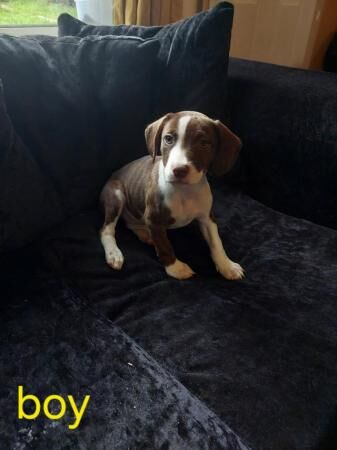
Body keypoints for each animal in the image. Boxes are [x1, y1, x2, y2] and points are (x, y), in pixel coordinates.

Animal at [98, 110, 243, 280]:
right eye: (168, 139)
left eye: (204, 143)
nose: (179, 170)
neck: (184, 192)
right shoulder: (153, 220)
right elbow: (165, 246)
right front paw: (175, 268)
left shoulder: (207, 217)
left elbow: (216, 241)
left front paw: (226, 264)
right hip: (116, 196)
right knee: (107, 230)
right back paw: (114, 254)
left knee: (131, 224)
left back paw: (144, 234)